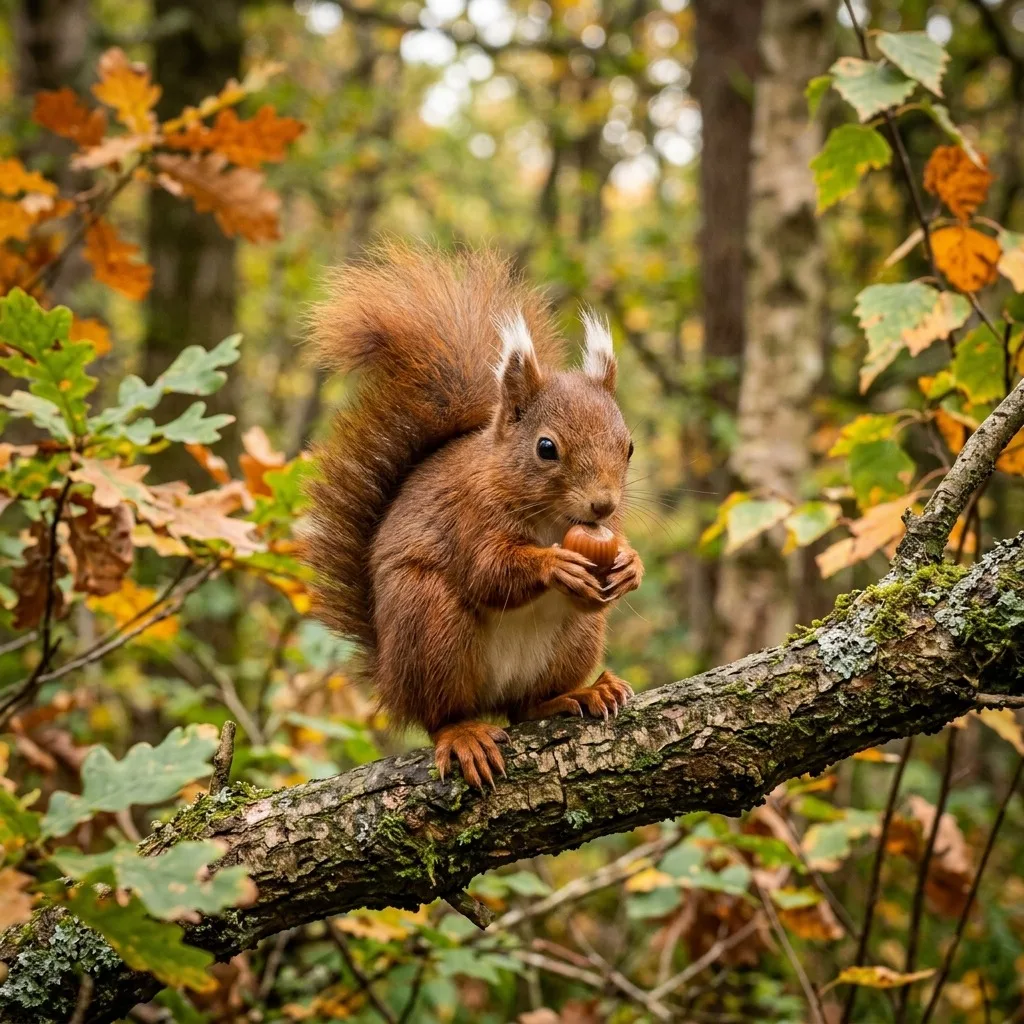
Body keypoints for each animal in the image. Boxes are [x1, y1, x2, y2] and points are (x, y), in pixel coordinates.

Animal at [303, 241, 644, 789]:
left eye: (628, 447)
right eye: (546, 448)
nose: (604, 504)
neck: (550, 520)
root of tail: (392, 680)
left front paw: (630, 565)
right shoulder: (468, 515)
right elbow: (487, 571)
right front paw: (554, 565)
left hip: (576, 640)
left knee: (526, 706)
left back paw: (580, 693)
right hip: (430, 623)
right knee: (441, 714)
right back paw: (463, 734)